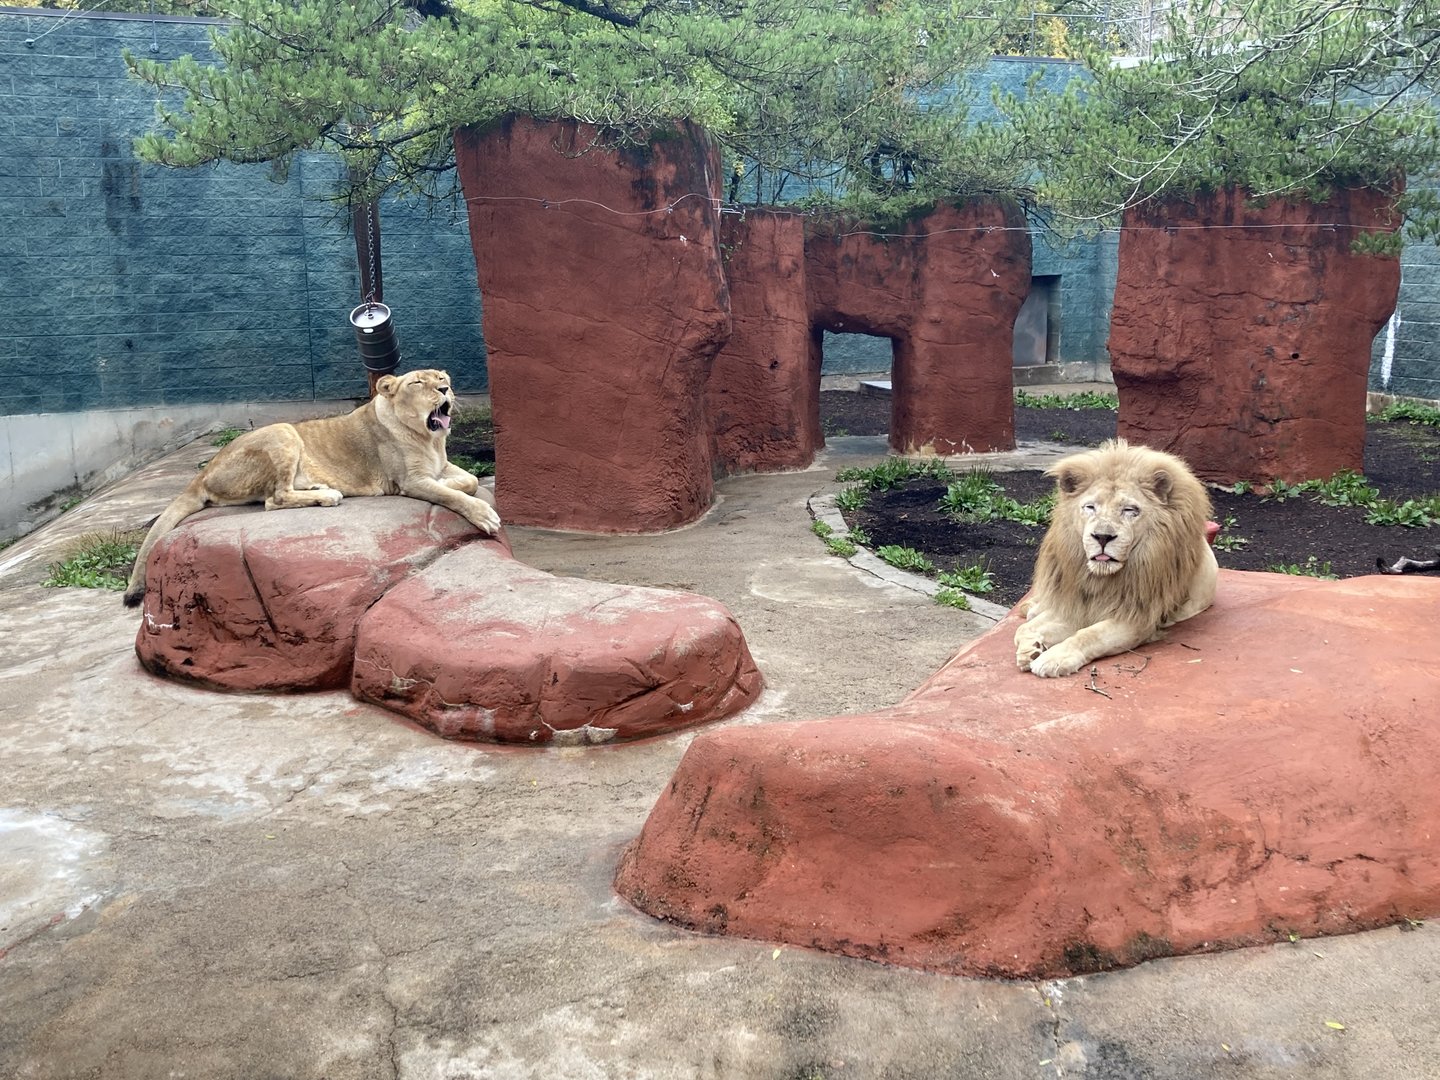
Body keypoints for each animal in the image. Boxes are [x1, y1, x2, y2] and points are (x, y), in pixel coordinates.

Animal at [122, 369, 500, 607]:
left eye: (443, 378)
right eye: (419, 382)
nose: (445, 390)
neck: (429, 438)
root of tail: (202, 474)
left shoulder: (439, 465)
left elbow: (468, 480)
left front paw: (457, 482)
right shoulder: (409, 481)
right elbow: (451, 494)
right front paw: (484, 515)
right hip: (283, 431)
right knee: (274, 499)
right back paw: (328, 494)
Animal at [1015, 439, 1217, 678]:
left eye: (1130, 510)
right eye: (1090, 507)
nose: (1102, 537)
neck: (1103, 580)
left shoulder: (1137, 619)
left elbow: (1089, 635)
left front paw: (1053, 659)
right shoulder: (1079, 606)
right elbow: (1023, 629)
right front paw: (1031, 650)